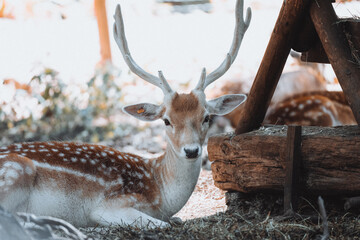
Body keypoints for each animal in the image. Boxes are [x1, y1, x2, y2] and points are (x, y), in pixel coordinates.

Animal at [0, 0, 250, 228]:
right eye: (166, 120)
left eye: (206, 117)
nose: (191, 150)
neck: (161, 193)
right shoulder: (108, 206)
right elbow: (163, 224)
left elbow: (175, 220)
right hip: (16, 171)